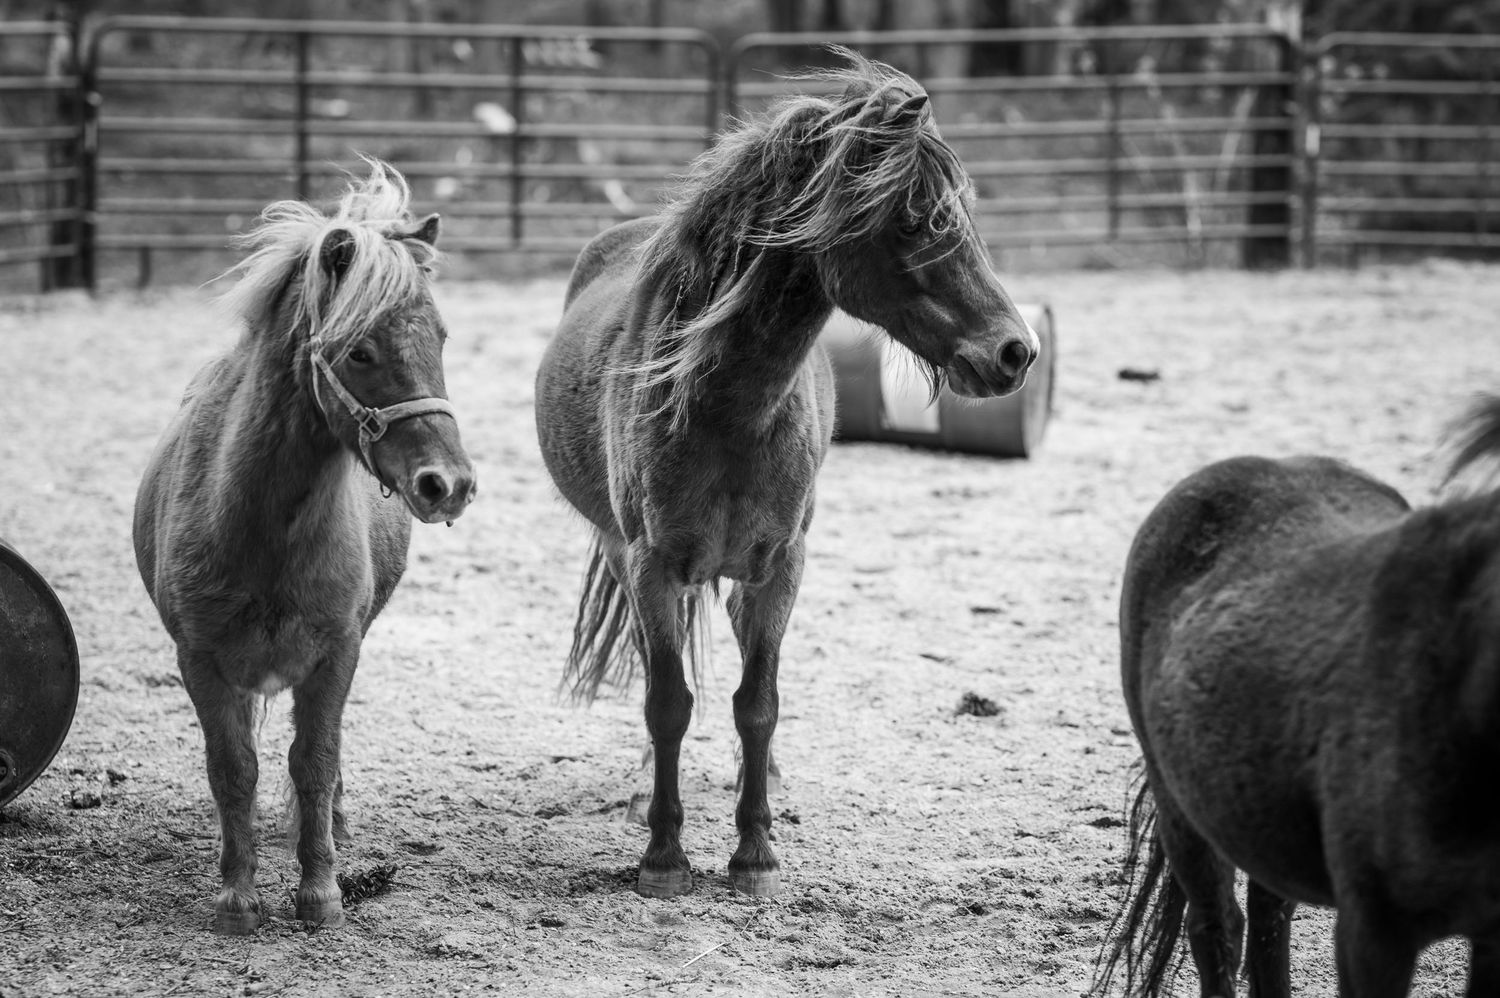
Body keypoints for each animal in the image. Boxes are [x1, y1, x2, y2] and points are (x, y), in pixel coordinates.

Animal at [133, 159, 477, 935]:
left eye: (442, 339)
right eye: (361, 350)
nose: (449, 484)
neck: (263, 529)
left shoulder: (335, 654)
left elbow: (314, 761)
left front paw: (320, 892)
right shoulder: (200, 660)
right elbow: (233, 769)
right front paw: (237, 897)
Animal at [533, 48, 1038, 899]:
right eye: (916, 219)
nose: (1016, 352)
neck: (730, 407)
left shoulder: (781, 567)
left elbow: (758, 704)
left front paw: (755, 852)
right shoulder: (652, 564)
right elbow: (668, 702)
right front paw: (664, 856)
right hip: (623, 555)